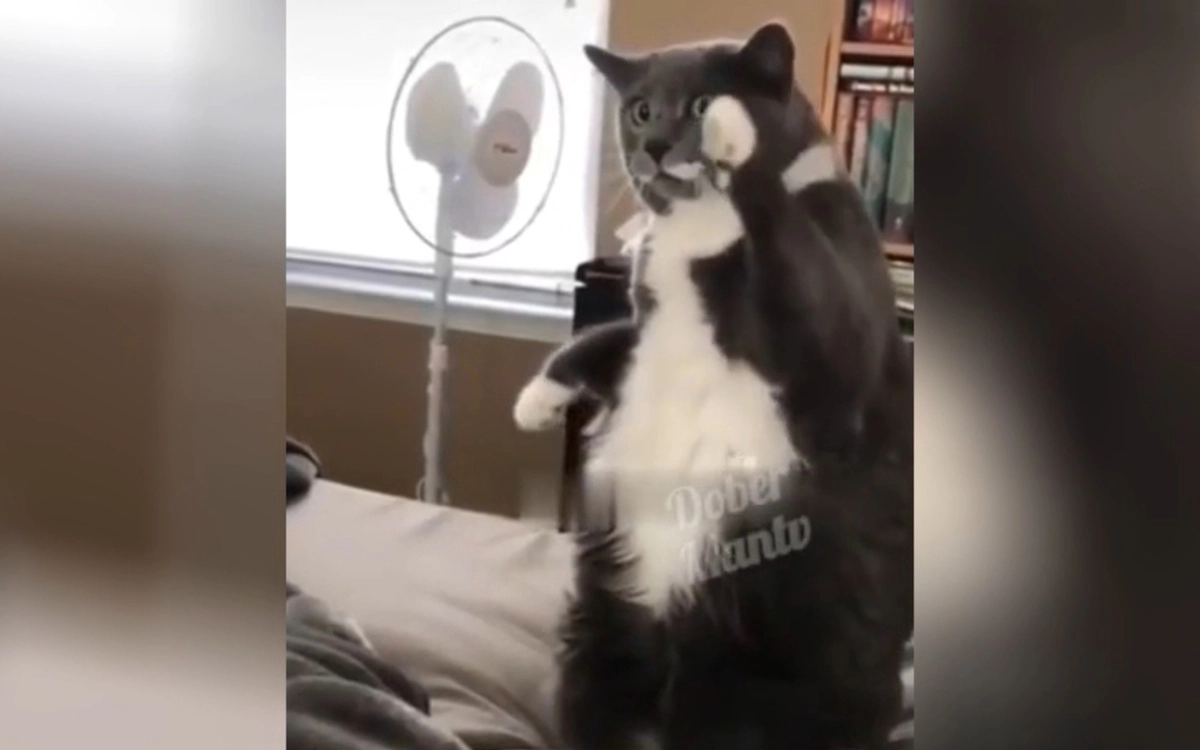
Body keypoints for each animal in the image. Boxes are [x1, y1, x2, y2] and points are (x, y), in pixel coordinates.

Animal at [513, 23, 912, 750]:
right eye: (640, 109)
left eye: (699, 103)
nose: (655, 144)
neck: (695, 237)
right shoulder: (648, 329)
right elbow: (606, 340)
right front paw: (538, 400)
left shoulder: (842, 356)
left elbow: (795, 262)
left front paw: (735, 137)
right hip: (598, 637)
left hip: (756, 680)